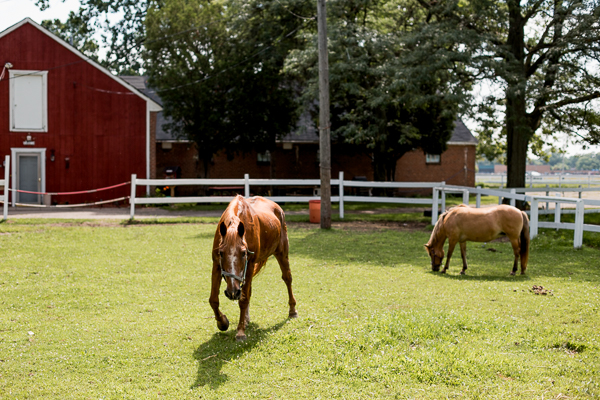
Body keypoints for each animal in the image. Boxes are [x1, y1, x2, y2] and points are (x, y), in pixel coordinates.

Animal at [209, 195, 298, 340]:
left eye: (244, 253)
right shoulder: (216, 265)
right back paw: (245, 319)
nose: (232, 292)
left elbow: (243, 300)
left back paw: (292, 311)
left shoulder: (249, 265)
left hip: (282, 254)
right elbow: (213, 300)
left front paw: (240, 331)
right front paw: (222, 322)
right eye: (221, 253)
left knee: (287, 279)